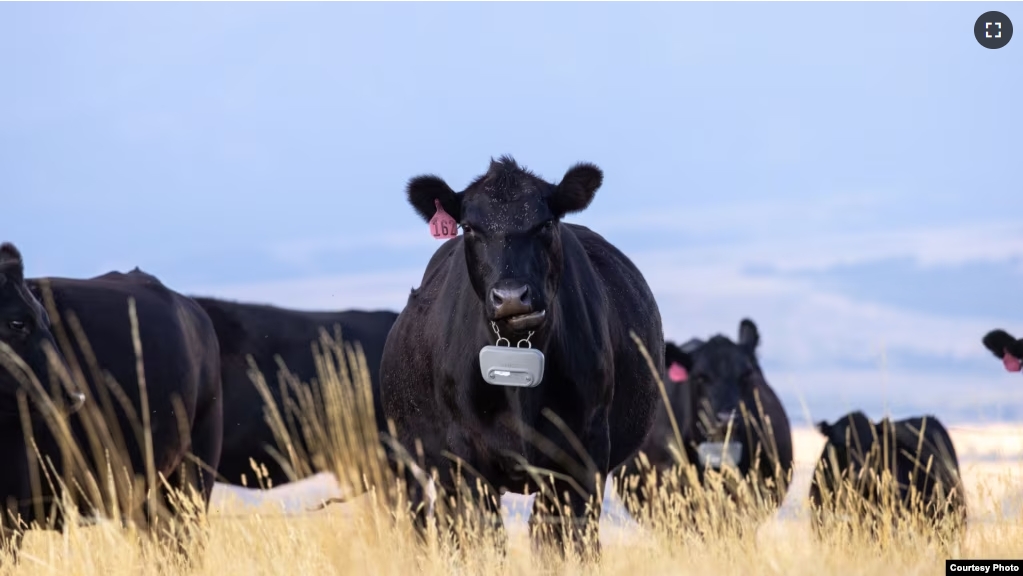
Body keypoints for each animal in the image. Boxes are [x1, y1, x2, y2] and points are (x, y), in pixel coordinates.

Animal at [378, 156, 662, 560]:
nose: (511, 297)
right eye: (469, 228)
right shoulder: (465, 458)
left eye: (545, 223)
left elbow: (573, 542)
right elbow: (484, 541)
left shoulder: (584, 454)